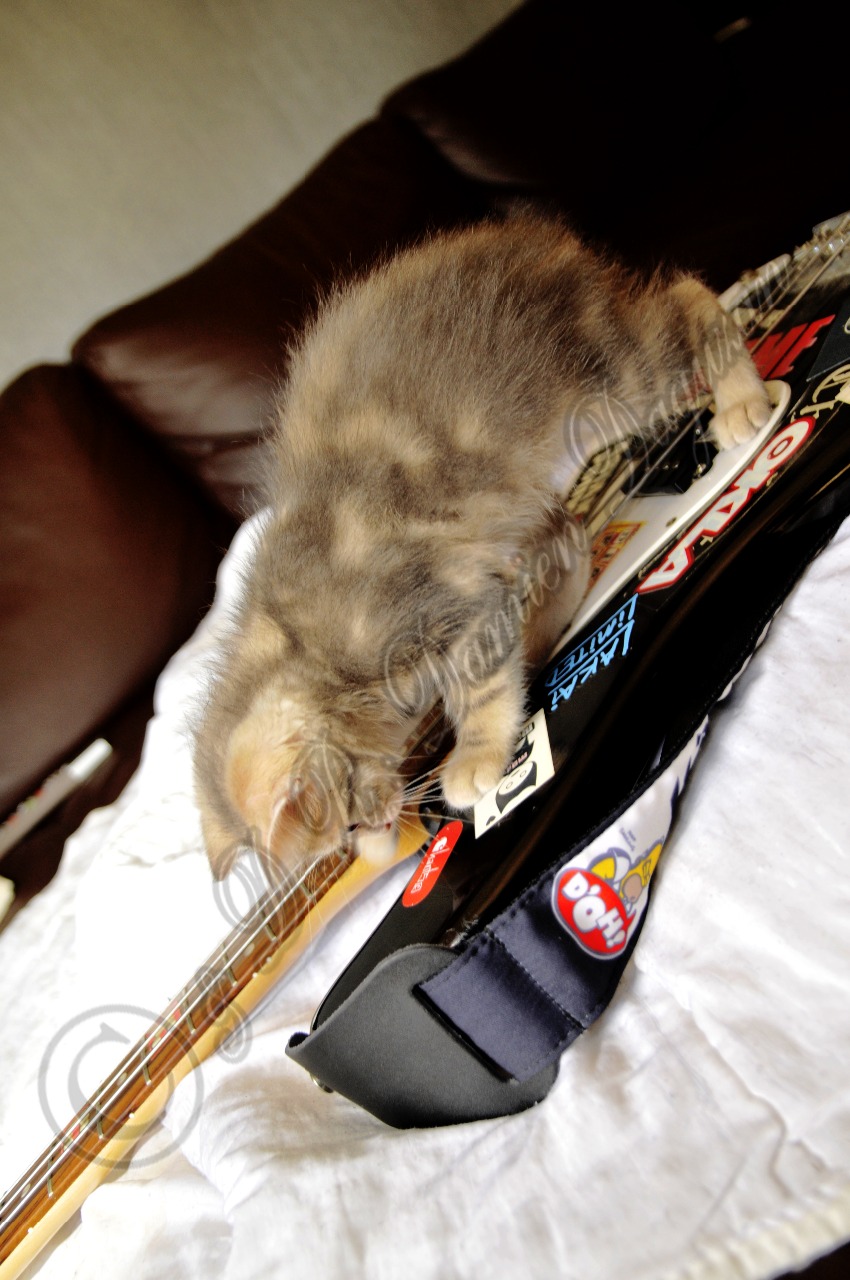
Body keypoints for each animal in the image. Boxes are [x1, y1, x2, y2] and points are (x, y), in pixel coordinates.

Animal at [192, 214, 770, 880]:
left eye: (349, 819)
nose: (376, 826)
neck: (298, 639)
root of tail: (522, 234)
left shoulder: (440, 605)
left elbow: (482, 684)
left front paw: (473, 758)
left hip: (605, 381)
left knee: (688, 300)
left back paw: (740, 399)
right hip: (519, 481)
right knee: (568, 540)